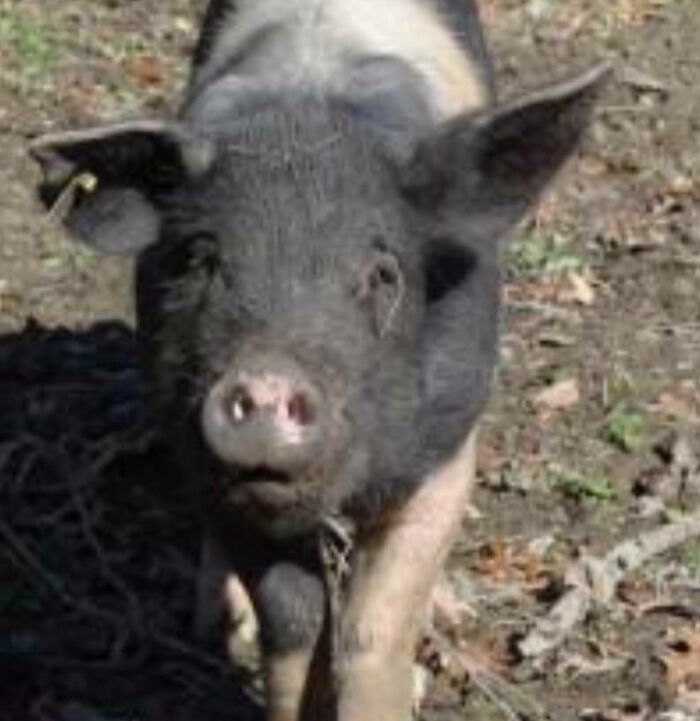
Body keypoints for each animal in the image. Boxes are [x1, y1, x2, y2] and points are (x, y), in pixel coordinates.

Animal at [29, 1, 609, 719]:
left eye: (382, 273)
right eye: (199, 258)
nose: (267, 385)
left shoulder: (445, 448)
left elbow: (372, 630)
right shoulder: (214, 473)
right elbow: (291, 627)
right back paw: (216, 623)